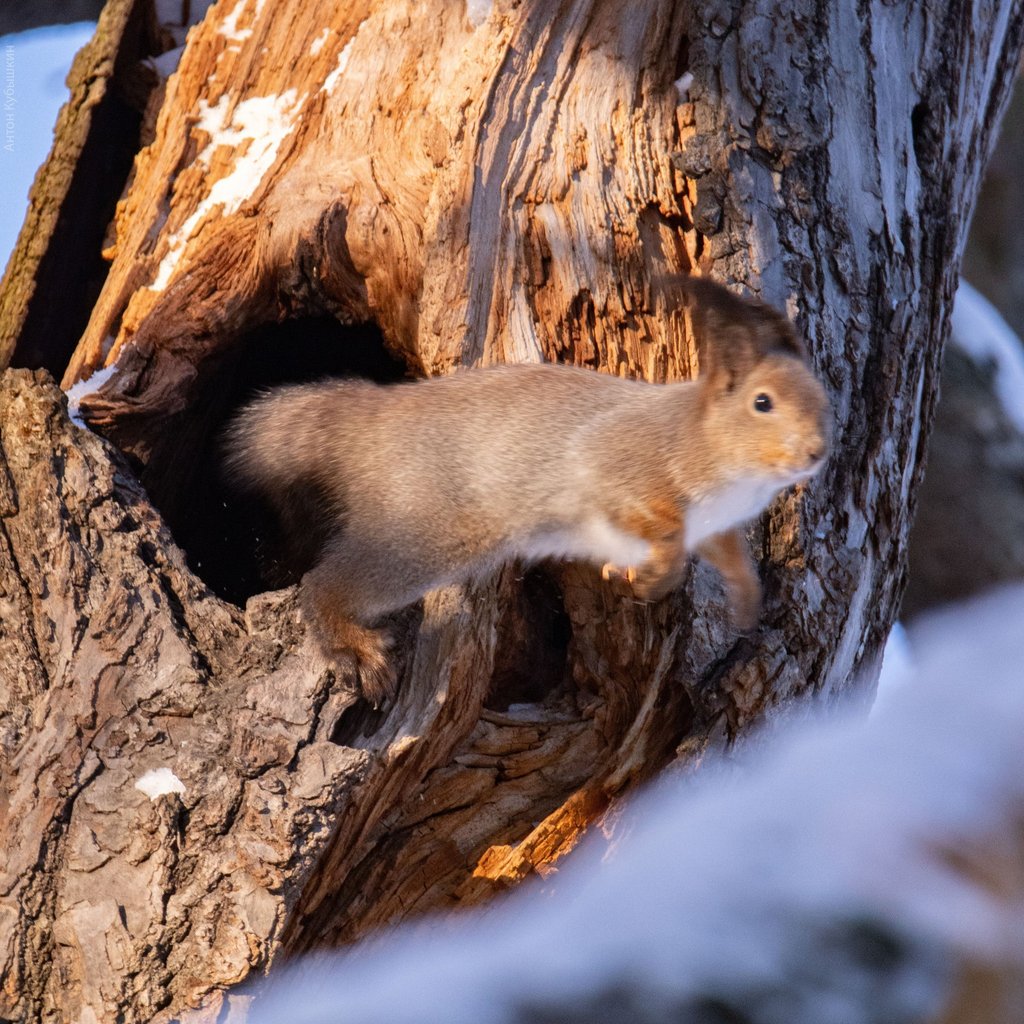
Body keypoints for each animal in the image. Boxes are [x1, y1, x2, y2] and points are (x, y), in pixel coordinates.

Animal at [226, 276, 831, 700]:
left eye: (824, 398)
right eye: (761, 402)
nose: (817, 452)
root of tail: (376, 418)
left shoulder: (717, 525)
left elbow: (728, 557)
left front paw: (744, 598)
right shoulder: (615, 465)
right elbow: (656, 527)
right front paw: (657, 570)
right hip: (428, 530)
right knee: (325, 582)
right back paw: (352, 642)